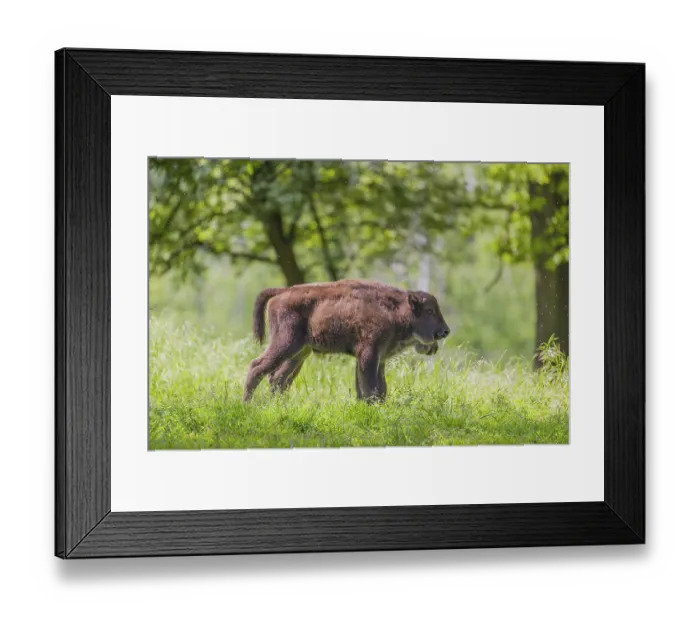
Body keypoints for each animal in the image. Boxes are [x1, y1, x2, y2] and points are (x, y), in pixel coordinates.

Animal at [242, 279, 450, 402]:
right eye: (429, 311)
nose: (445, 331)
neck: (395, 309)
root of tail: (282, 291)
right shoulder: (368, 354)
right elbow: (370, 387)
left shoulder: (378, 359)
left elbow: (379, 387)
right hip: (284, 343)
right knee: (257, 367)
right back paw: (247, 404)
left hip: (299, 353)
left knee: (279, 378)